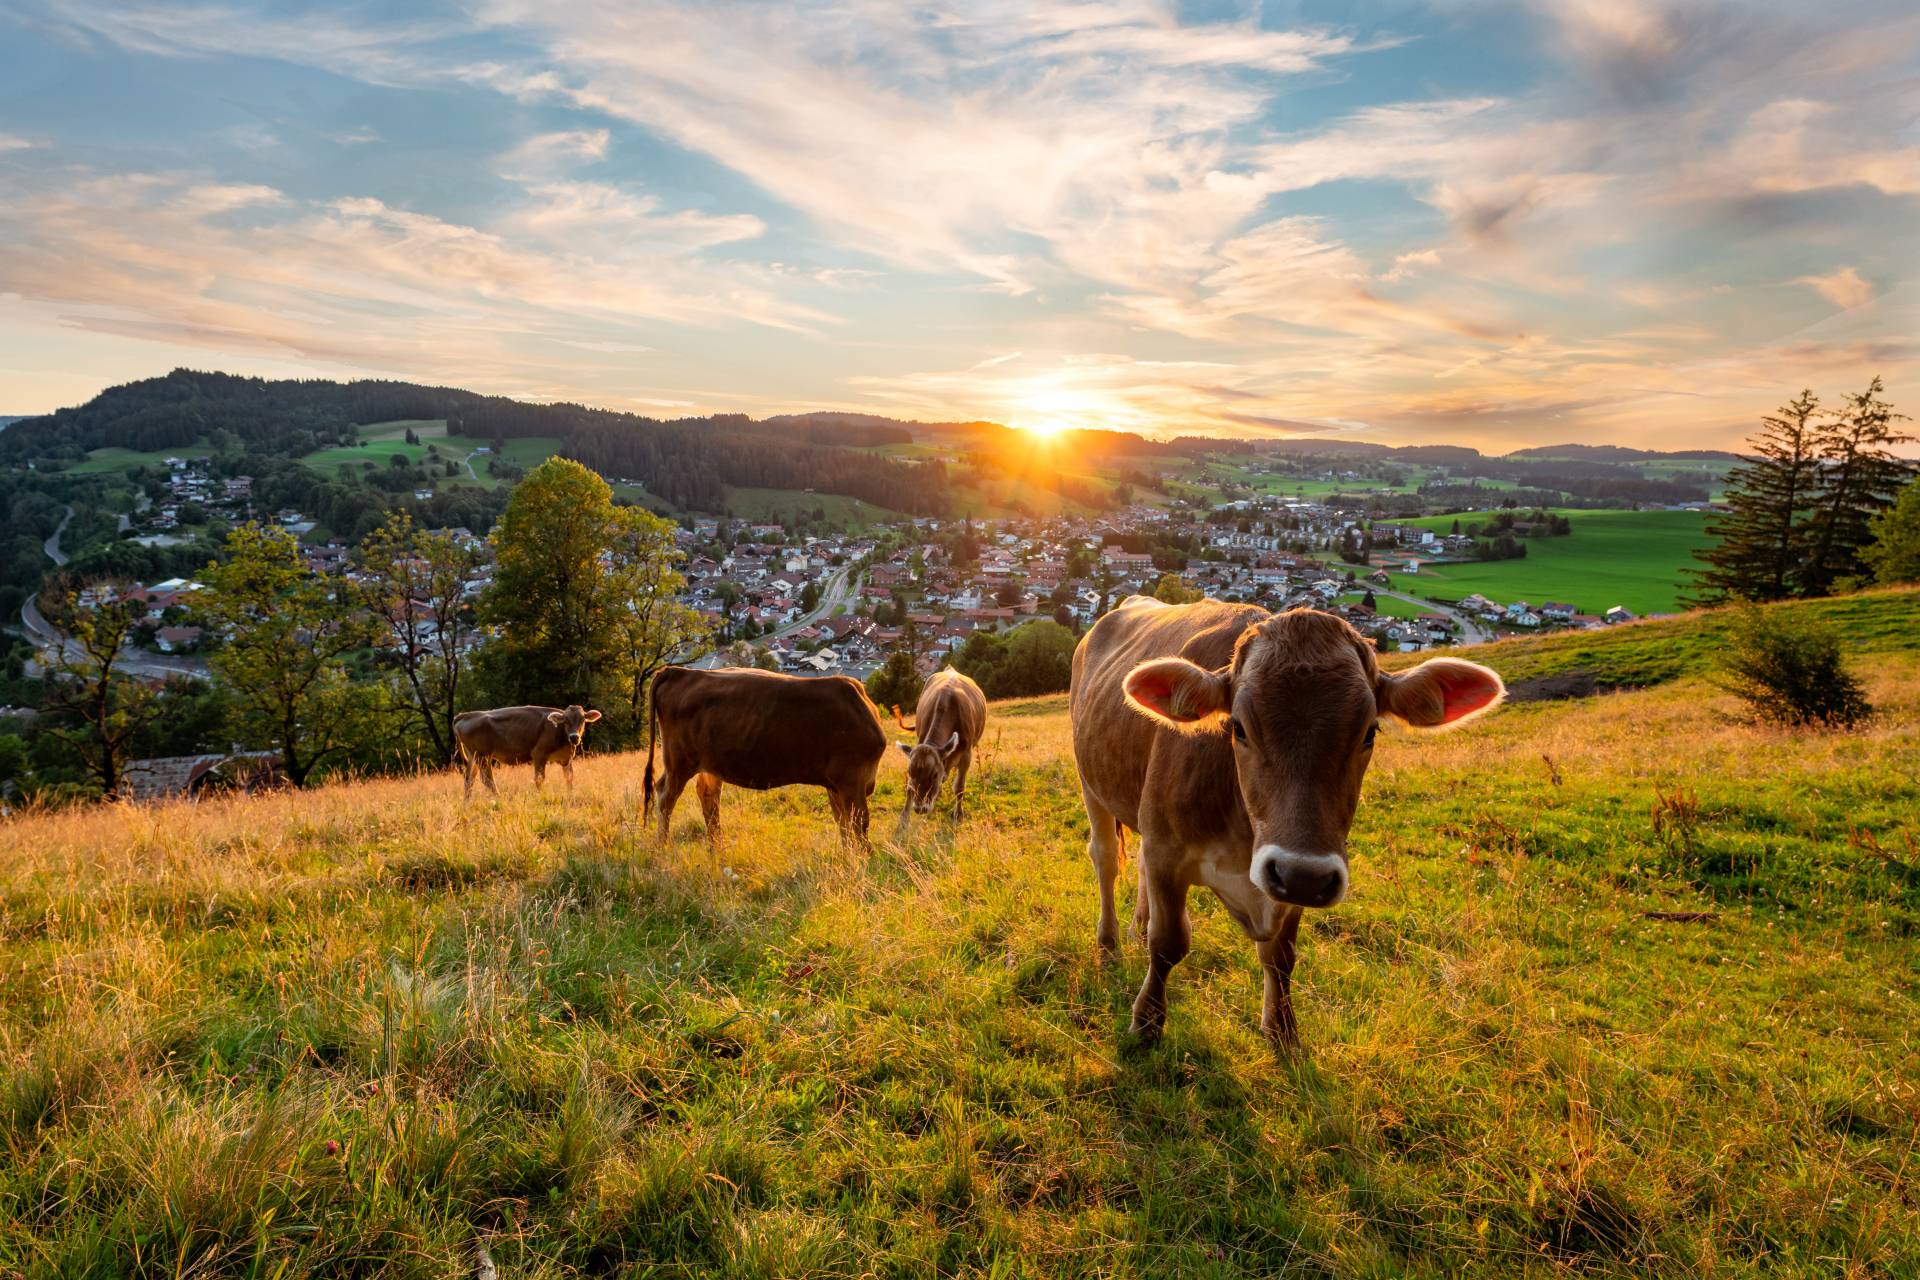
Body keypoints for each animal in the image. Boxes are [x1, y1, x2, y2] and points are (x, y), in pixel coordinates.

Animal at [453, 704, 602, 799]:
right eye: (565, 720)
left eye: (583, 719)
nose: (574, 737)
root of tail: (464, 715)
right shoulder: (539, 754)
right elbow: (539, 778)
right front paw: (541, 796)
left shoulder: (566, 758)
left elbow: (569, 777)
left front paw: (570, 795)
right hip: (482, 755)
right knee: (487, 779)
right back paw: (499, 799)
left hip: (473, 756)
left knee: (469, 779)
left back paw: (467, 803)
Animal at [644, 666, 889, 848]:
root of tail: (678, 671)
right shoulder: (851, 779)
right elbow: (860, 823)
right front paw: (863, 860)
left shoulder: (835, 785)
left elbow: (844, 825)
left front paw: (850, 858)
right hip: (679, 761)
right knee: (665, 796)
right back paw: (663, 846)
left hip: (708, 764)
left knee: (708, 795)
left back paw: (717, 847)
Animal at [891, 668, 988, 841]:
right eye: (910, 773)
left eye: (934, 775)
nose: (920, 808)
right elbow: (910, 788)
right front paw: (903, 822)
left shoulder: (966, 755)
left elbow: (959, 787)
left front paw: (958, 815)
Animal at [1070, 598, 1503, 1047]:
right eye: (1238, 727)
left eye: (1370, 733)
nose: (1303, 875)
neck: (1244, 835)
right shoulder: (1167, 852)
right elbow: (1168, 942)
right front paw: (1147, 1022)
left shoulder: (1296, 873)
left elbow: (1280, 957)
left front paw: (1281, 1031)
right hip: (1090, 784)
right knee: (1106, 860)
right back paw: (1109, 945)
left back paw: (1137, 927)